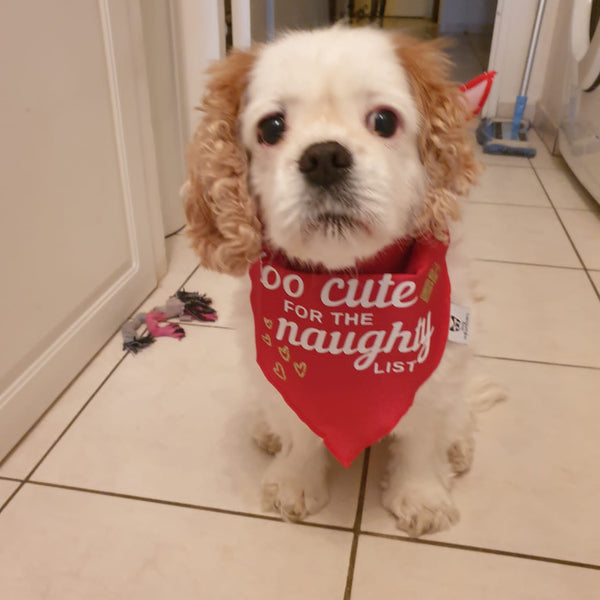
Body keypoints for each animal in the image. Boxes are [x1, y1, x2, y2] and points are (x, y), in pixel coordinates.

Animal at [184, 25, 502, 536]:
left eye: (385, 121)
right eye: (271, 128)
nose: (324, 157)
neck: (346, 286)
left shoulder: (439, 366)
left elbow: (422, 440)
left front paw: (422, 496)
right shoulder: (279, 376)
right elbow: (298, 434)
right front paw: (295, 484)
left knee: (459, 417)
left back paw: (458, 445)